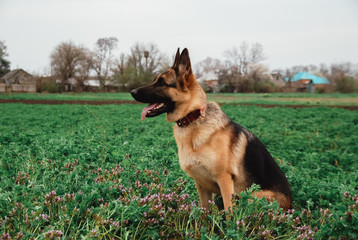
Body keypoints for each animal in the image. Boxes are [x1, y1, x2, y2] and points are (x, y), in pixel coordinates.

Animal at [130, 48, 292, 210]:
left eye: (162, 83)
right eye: (154, 80)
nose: (132, 91)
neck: (193, 117)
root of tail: (290, 206)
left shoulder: (224, 179)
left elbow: (229, 211)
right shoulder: (201, 184)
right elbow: (205, 210)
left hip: (251, 196)